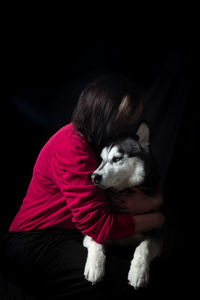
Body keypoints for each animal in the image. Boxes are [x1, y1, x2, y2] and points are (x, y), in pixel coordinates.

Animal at [83, 123, 162, 290]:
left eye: (117, 158)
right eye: (101, 159)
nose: (94, 177)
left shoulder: (156, 237)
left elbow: (144, 246)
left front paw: (138, 272)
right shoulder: (95, 230)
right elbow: (96, 240)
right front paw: (95, 267)